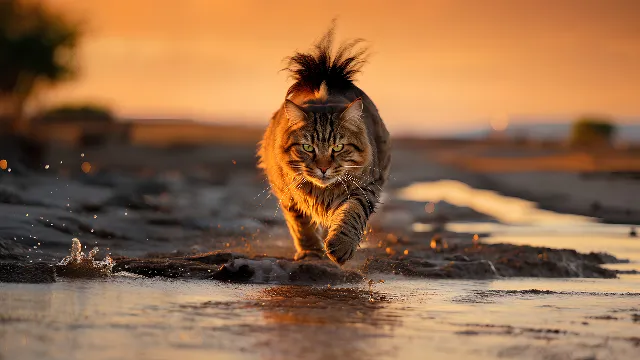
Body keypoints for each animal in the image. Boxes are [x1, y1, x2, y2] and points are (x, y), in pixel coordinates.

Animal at [256, 26, 390, 264]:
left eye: (338, 148)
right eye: (308, 148)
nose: (324, 167)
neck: (322, 192)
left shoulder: (366, 187)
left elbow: (352, 213)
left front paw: (341, 245)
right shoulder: (288, 193)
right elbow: (300, 224)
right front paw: (311, 251)